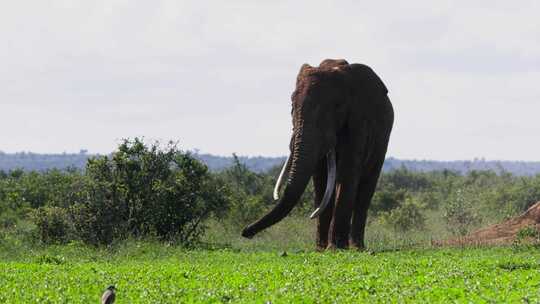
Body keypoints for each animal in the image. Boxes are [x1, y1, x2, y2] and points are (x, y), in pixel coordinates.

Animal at [243, 57, 394, 249]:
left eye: (337, 107)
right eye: (292, 106)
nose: (245, 232)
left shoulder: (359, 122)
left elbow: (348, 172)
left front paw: (336, 248)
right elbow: (320, 177)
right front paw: (321, 248)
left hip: (382, 140)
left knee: (366, 187)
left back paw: (356, 247)